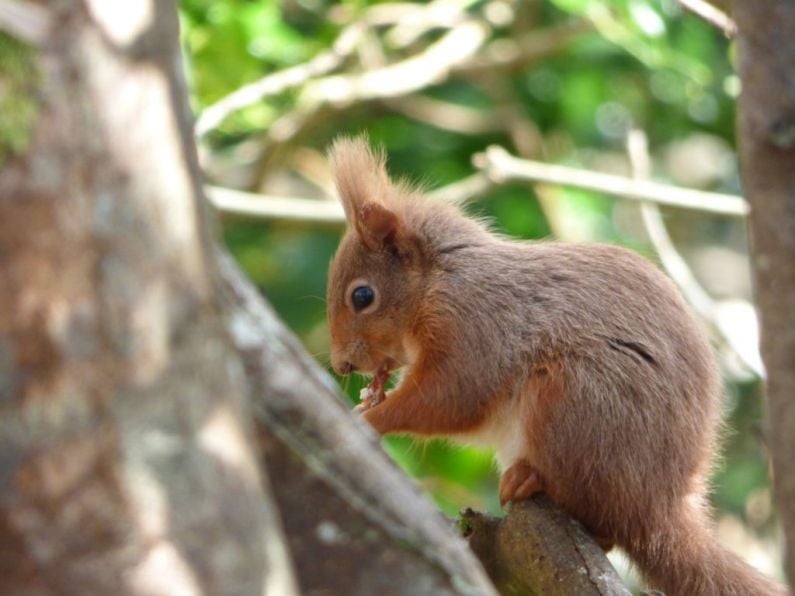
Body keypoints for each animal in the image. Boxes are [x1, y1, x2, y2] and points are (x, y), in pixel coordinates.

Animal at [326, 137, 788, 592]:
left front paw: (371, 419)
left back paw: (531, 479)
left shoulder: (474, 326)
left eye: (363, 296)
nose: (341, 365)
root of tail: (662, 507)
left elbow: (453, 398)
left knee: (602, 515)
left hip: (572, 399)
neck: (440, 277)